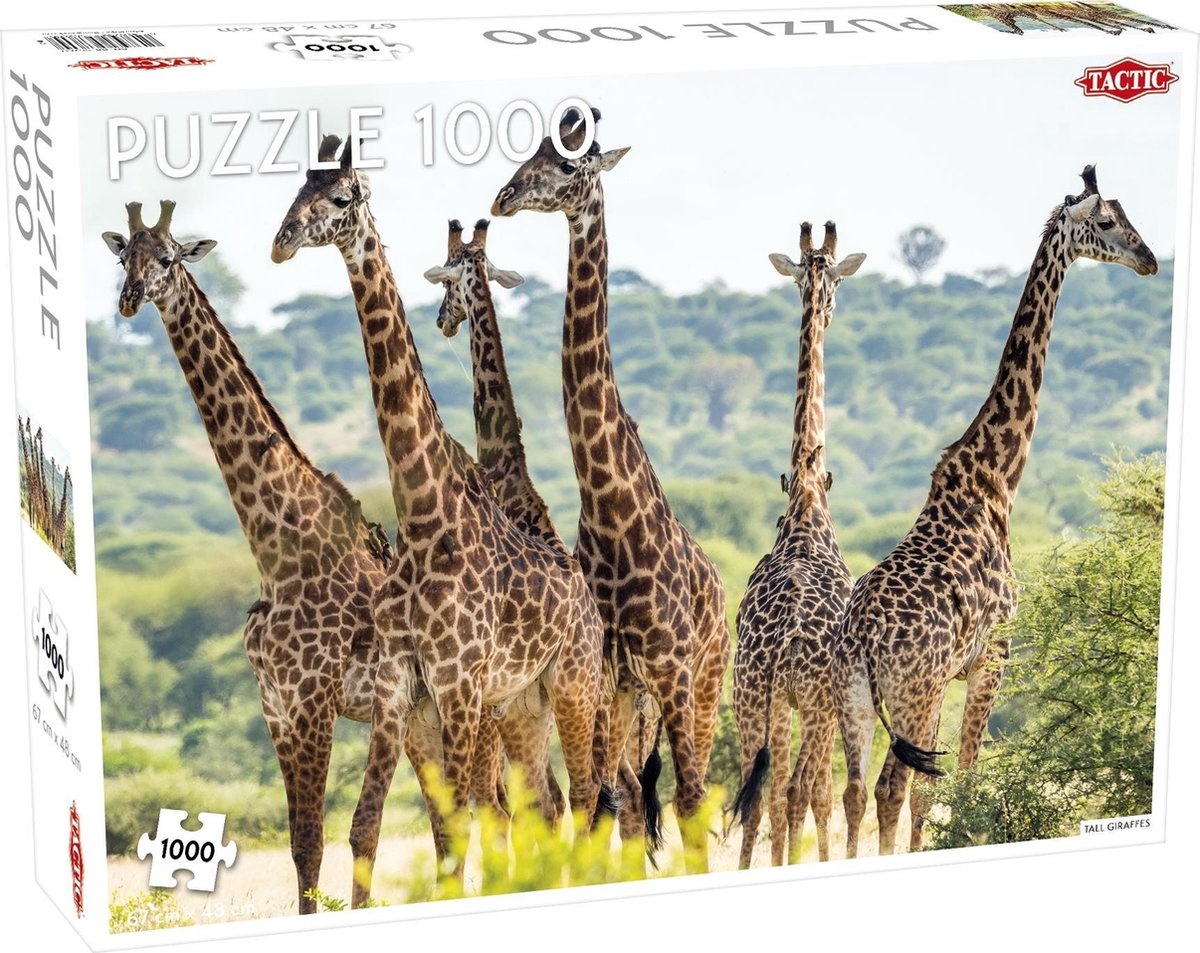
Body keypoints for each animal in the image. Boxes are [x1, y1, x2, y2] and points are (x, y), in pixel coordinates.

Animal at [99, 200, 505, 913]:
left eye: (169, 257)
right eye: (125, 257)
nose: (128, 301)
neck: (278, 551)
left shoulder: (317, 700)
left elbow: (337, 835)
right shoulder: (277, 707)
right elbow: (301, 845)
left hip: (463, 711)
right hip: (422, 723)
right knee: (447, 819)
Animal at [271, 137, 605, 897]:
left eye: (341, 197)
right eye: (296, 188)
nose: (280, 243)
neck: (427, 519)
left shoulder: (459, 683)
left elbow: (465, 824)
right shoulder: (410, 687)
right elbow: (412, 826)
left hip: (570, 684)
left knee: (588, 796)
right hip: (526, 701)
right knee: (552, 804)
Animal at [491, 107, 731, 870]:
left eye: (569, 165)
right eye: (528, 154)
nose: (504, 197)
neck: (606, 503)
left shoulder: (671, 667)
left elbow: (686, 800)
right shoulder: (605, 673)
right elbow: (603, 804)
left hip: (705, 681)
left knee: (692, 792)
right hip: (629, 698)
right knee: (623, 796)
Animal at [831, 166, 1158, 859]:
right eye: (1107, 222)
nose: (1148, 259)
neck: (996, 480)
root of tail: (864, 640)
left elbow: (939, 789)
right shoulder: (992, 658)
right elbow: (965, 781)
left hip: (853, 700)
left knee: (854, 792)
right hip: (914, 691)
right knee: (893, 788)